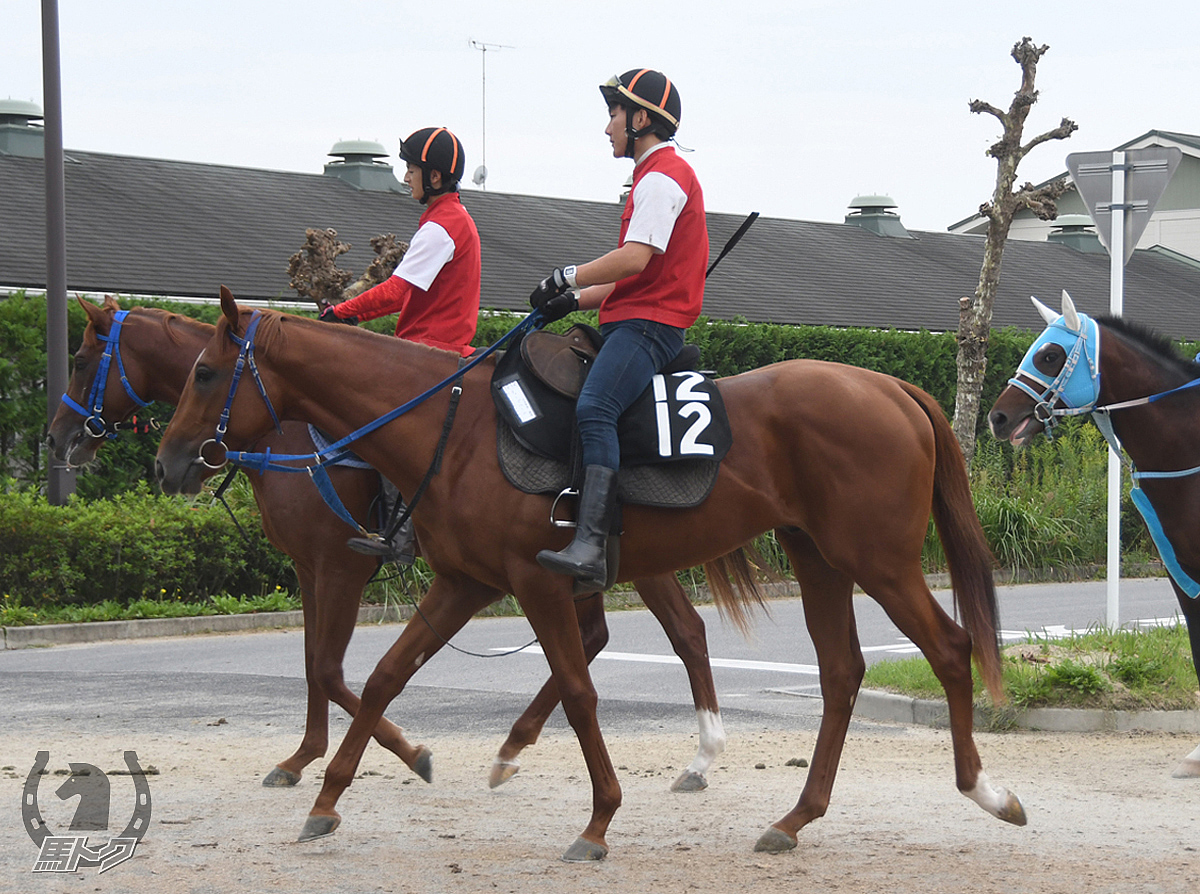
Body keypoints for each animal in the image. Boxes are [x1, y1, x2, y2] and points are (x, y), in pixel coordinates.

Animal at [46, 296, 724, 792]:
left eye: (78, 358)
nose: (56, 439)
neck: (289, 431)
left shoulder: (340, 565)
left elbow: (328, 667)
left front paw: (405, 750)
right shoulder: (308, 569)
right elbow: (314, 663)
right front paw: (305, 756)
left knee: (678, 632)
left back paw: (688, 757)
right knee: (615, 637)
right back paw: (525, 746)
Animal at [154, 289, 1027, 859]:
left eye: (205, 373)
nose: (170, 460)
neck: (449, 424)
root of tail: (891, 387)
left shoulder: (530, 582)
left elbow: (577, 692)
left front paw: (600, 818)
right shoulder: (464, 583)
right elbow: (382, 678)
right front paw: (331, 796)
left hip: (878, 561)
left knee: (950, 651)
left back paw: (988, 792)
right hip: (820, 560)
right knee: (841, 672)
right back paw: (794, 817)